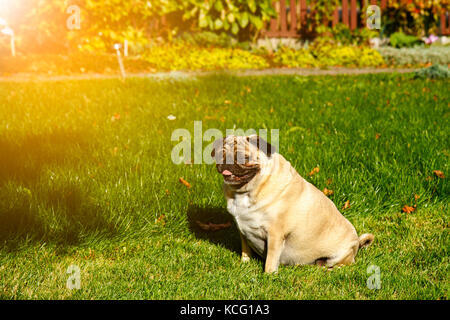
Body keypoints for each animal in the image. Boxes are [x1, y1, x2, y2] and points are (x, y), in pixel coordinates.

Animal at [213, 135, 374, 272]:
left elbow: (271, 260)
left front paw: (268, 275)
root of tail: (357, 244)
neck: (245, 192)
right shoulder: (243, 232)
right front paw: (244, 264)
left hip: (340, 255)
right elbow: (246, 250)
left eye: (243, 157)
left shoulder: (275, 235)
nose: (226, 161)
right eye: (221, 154)